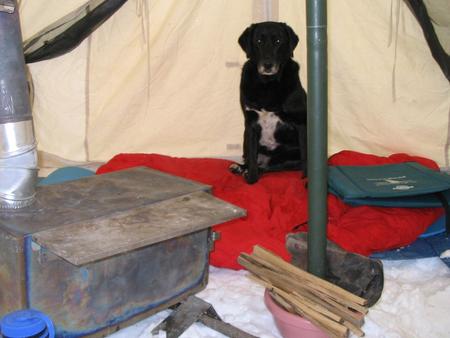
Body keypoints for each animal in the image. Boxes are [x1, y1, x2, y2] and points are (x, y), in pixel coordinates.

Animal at [230, 20, 308, 185]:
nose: (267, 65)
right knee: (252, 160)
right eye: (259, 41)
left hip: (288, 157)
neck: (267, 83)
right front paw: (252, 179)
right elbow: (252, 157)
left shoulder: (301, 122)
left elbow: (306, 156)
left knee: (273, 167)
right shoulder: (251, 124)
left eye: (278, 41)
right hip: (245, 138)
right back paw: (241, 168)